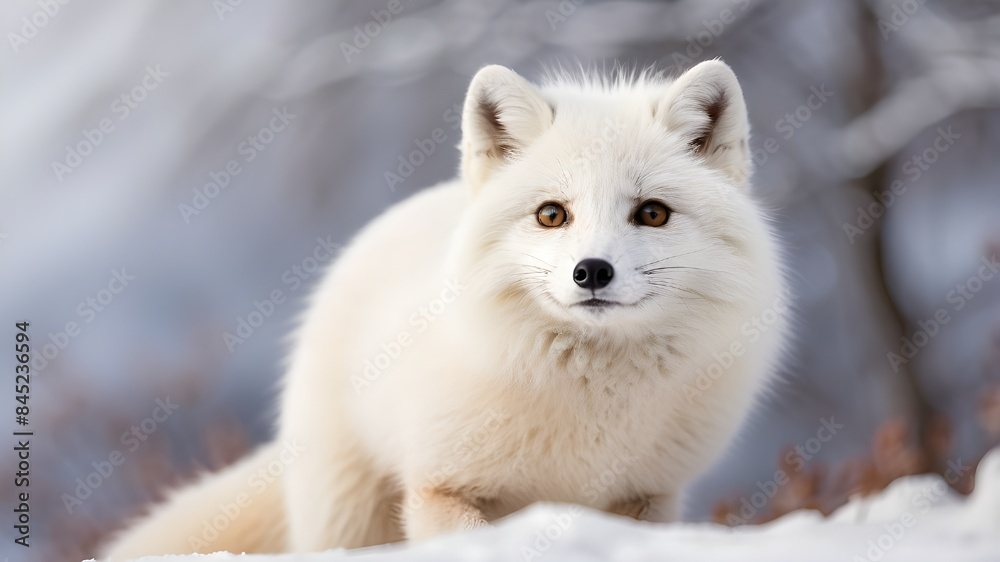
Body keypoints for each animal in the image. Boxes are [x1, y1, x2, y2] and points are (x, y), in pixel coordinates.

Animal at [103, 59, 787, 558]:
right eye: (552, 214)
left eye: (652, 213)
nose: (591, 272)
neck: (591, 410)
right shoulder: (439, 487)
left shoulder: (648, 498)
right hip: (348, 516)